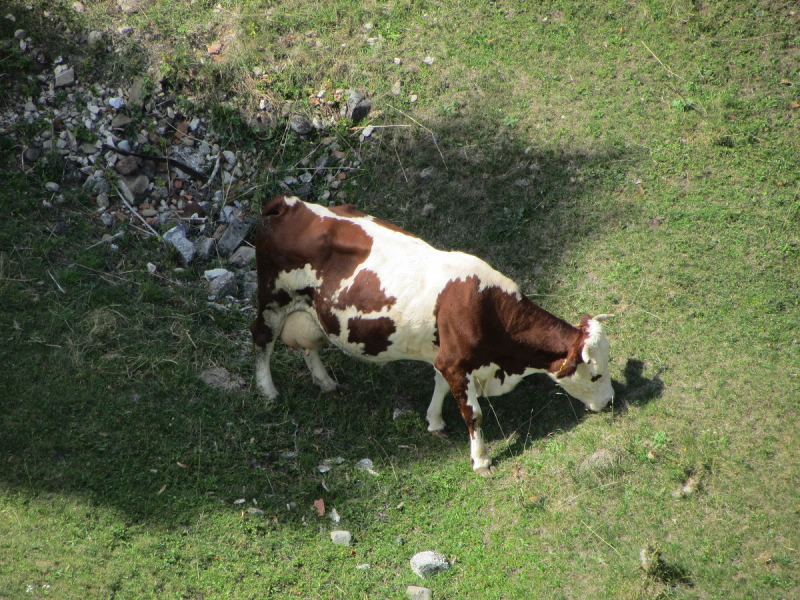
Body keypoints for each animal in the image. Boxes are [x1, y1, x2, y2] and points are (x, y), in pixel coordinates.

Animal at [250, 195, 612, 476]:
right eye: (595, 375)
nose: (610, 402)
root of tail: (288, 204)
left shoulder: (446, 356)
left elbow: (439, 385)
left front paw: (434, 422)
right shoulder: (456, 362)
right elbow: (474, 414)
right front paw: (480, 460)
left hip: (310, 310)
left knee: (308, 347)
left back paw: (324, 381)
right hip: (272, 298)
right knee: (261, 338)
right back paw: (268, 390)